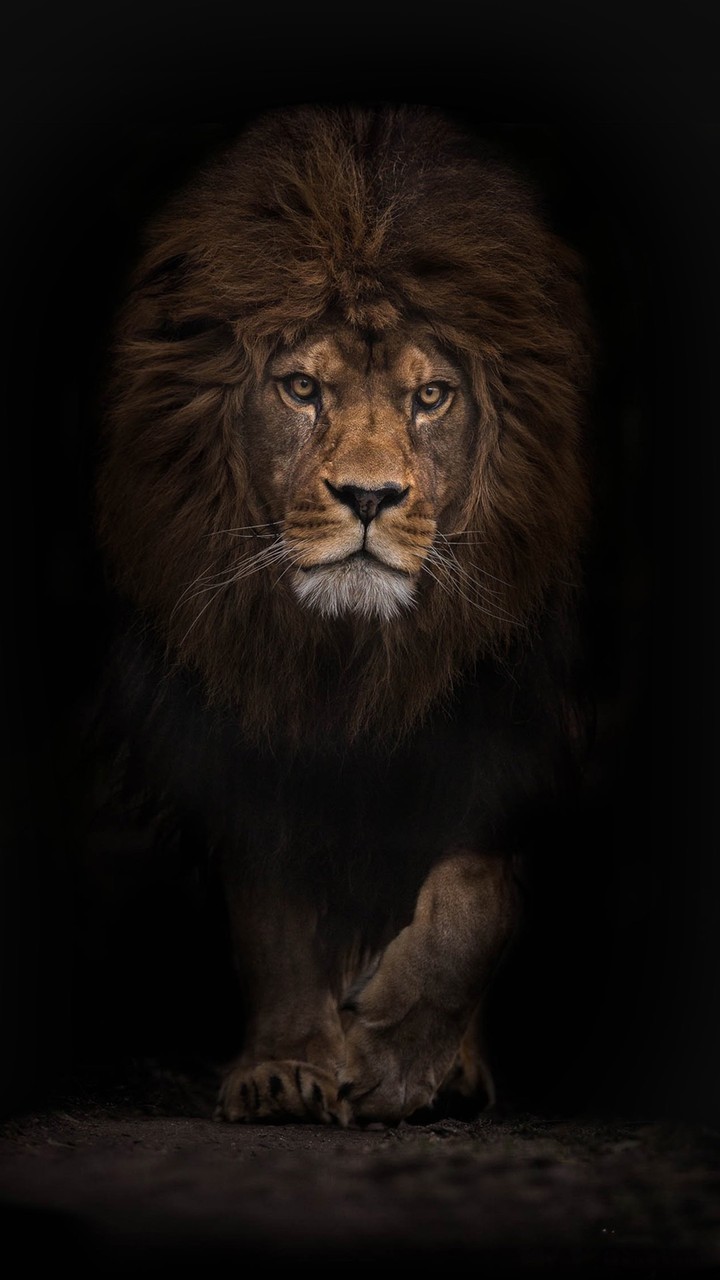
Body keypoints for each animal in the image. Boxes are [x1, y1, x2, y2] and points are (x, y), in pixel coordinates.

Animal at [95, 105, 593, 1125]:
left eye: (431, 396)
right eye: (301, 388)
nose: (368, 496)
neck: (349, 659)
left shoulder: (516, 719)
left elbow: (475, 894)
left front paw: (399, 1058)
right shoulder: (244, 725)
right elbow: (273, 914)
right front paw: (289, 1065)